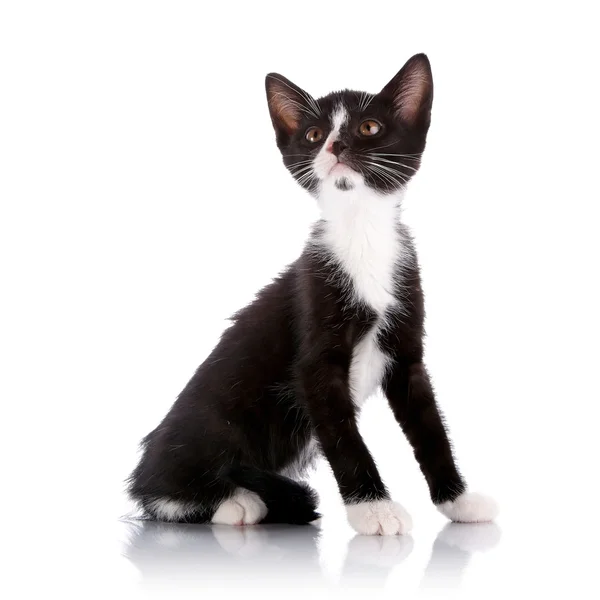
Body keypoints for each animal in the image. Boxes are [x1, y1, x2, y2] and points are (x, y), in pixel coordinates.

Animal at [129, 54, 500, 536]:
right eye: (313, 135)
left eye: (369, 127)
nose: (335, 146)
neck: (362, 233)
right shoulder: (314, 352)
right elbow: (344, 438)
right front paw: (373, 509)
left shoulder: (407, 355)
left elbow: (431, 429)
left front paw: (458, 500)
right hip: (213, 423)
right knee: (163, 490)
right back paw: (235, 502)